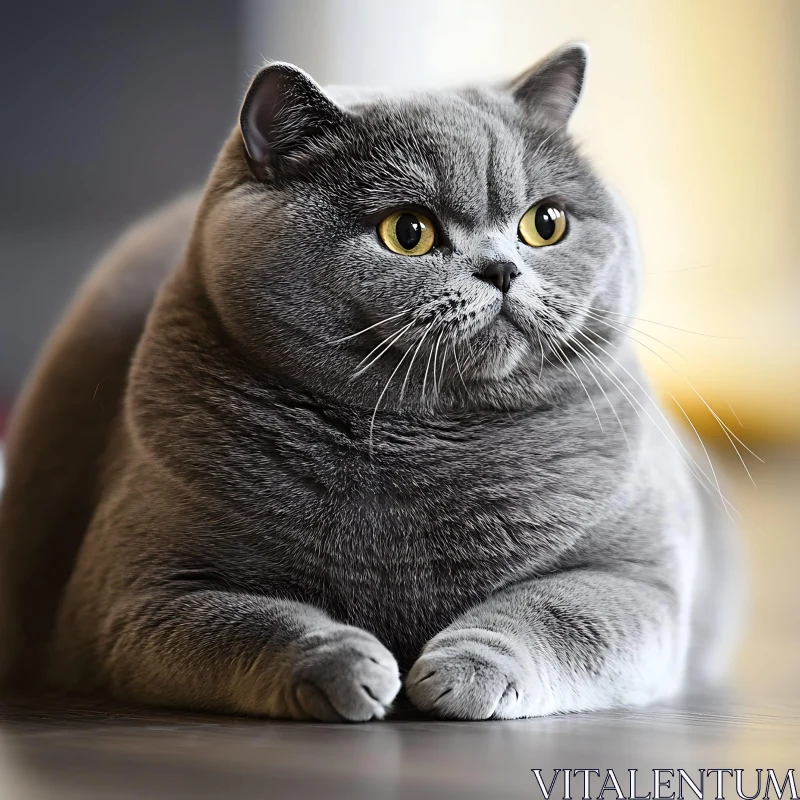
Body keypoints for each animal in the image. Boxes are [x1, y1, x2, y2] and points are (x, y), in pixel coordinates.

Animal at [0, 42, 736, 720]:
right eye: (408, 232)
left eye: (545, 223)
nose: (502, 269)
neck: (425, 438)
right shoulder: (134, 595)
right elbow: (253, 621)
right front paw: (341, 664)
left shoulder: (636, 576)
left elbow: (553, 611)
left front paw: (467, 672)